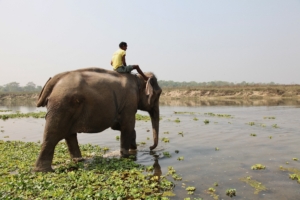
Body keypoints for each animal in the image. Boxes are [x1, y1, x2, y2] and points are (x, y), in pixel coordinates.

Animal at [32, 67, 162, 172]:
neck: (138, 78)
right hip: (61, 105)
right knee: (53, 135)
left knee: (69, 135)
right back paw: (44, 171)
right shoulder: (129, 102)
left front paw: (133, 148)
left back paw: (78, 161)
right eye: (158, 94)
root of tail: (55, 79)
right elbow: (127, 126)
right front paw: (126, 156)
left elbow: (119, 126)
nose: (150, 148)